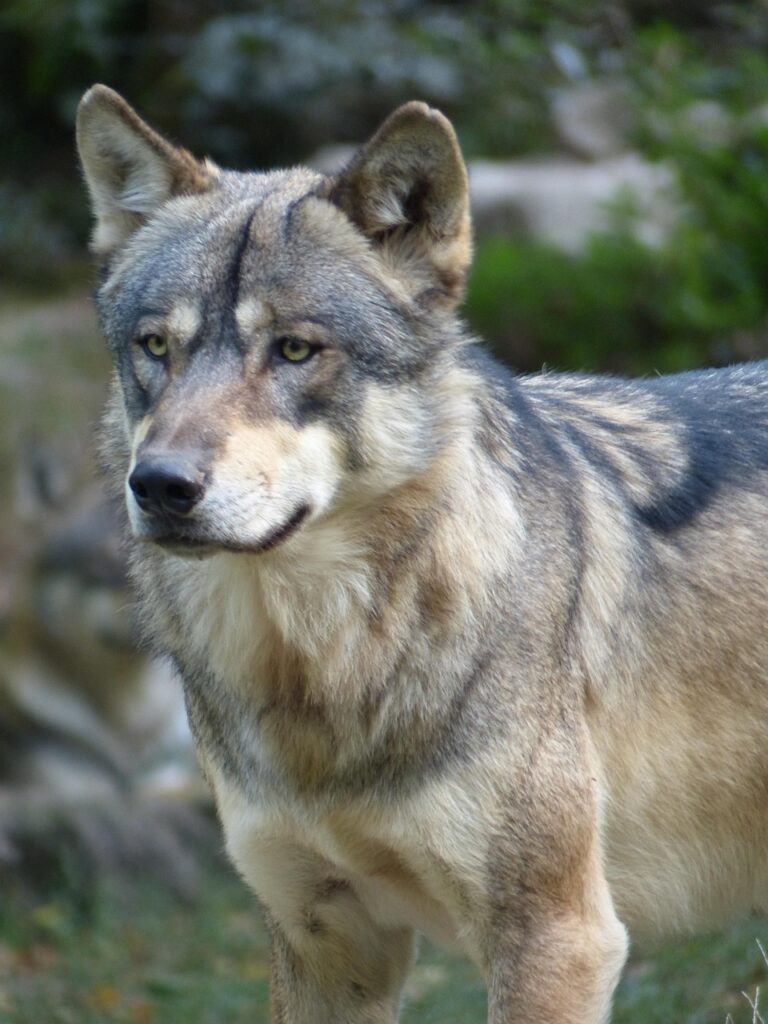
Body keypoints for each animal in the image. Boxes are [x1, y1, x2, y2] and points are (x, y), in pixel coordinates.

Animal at [76, 83, 768, 1022]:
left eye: (295, 349)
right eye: (156, 347)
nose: (160, 485)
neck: (317, 675)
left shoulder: (557, 939)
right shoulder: (326, 945)